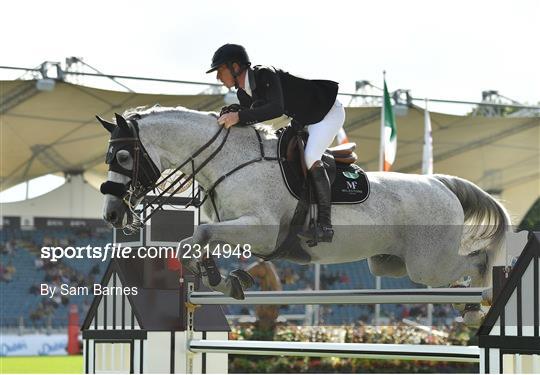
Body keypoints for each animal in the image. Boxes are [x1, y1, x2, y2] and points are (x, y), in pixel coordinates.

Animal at [100, 105, 510, 308]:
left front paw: (215, 275)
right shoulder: (239, 228)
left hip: (429, 265)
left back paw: (477, 306)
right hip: (389, 263)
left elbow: (197, 234)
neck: (231, 160)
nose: (112, 215)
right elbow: (200, 240)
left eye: (122, 156)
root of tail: (441, 183)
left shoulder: (261, 228)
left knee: (476, 262)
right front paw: (223, 279)